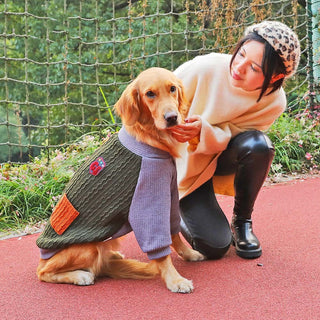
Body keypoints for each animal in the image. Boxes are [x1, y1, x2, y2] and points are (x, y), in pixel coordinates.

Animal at [35, 67, 205, 292]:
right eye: (149, 94)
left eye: (172, 89)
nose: (172, 117)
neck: (149, 137)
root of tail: (43, 256)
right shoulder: (147, 200)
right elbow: (160, 247)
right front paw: (175, 280)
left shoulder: (168, 192)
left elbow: (173, 231)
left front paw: (188, 254)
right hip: (88, 248)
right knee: (43, 272)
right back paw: (79, 275)